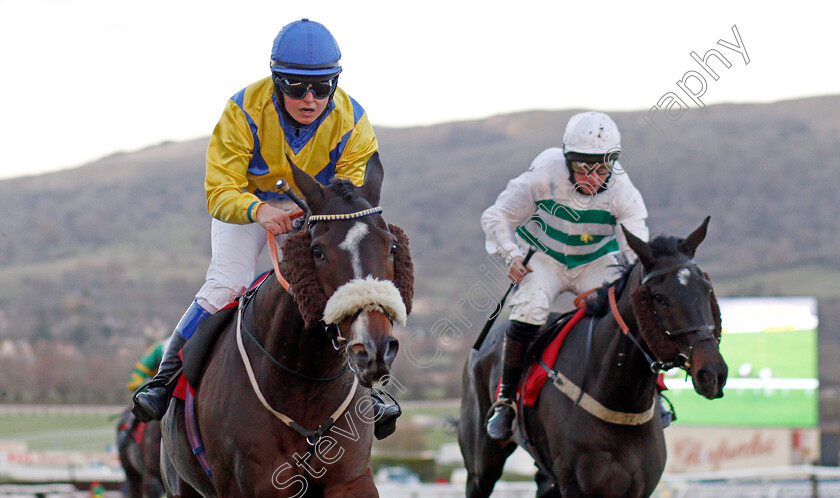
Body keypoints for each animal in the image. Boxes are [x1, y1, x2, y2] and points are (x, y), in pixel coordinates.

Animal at [159, 154, 412, 496]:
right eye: (317, 251)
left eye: (392, 246)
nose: (373, 348)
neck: (303, 384)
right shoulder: (254, 485)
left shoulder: (352, 478)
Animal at [460, 219, 728, 498]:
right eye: (659, 297)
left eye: (706, 289)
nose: (713, 373)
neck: (620, 401)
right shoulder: (576, 486)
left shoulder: (638, 488)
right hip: (481, 466)